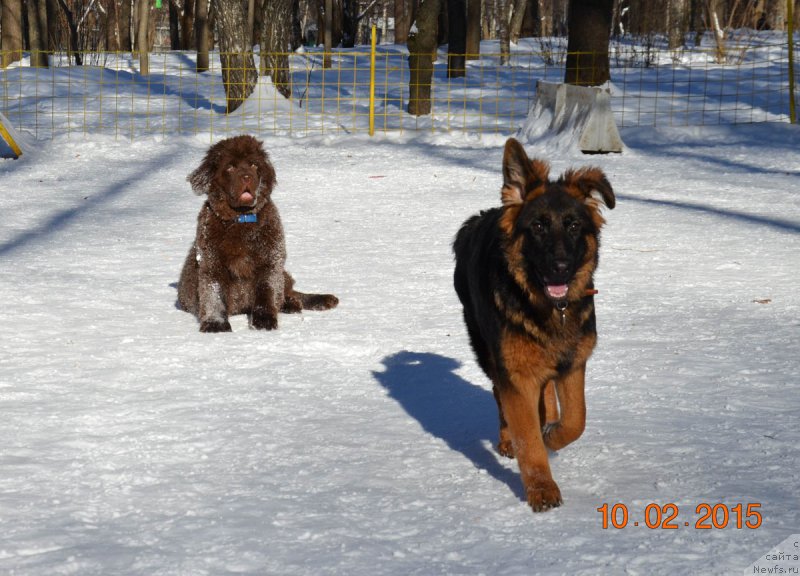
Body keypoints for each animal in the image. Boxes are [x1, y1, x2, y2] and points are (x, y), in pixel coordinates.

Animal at [175, 134, 338, 330]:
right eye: (230, 167)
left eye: (253, 165)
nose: (246, 177)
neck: (241, 219)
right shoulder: (211, 262)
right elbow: (214, 293)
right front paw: (216, 324)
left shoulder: (270, 260)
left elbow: (267, 291)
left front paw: (264, 320)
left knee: (287, 291)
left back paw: (298, 303)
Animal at [454, 137, 616, 510]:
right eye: (538, 227)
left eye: (573, 225)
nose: (560, 267)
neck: (550, 309)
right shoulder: (516, 373)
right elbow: (527, 435)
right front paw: (542, 489)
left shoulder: (573, 363)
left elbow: (576, 419)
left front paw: (552, 436)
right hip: (489, 351)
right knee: (499, 394)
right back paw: (507, 440)